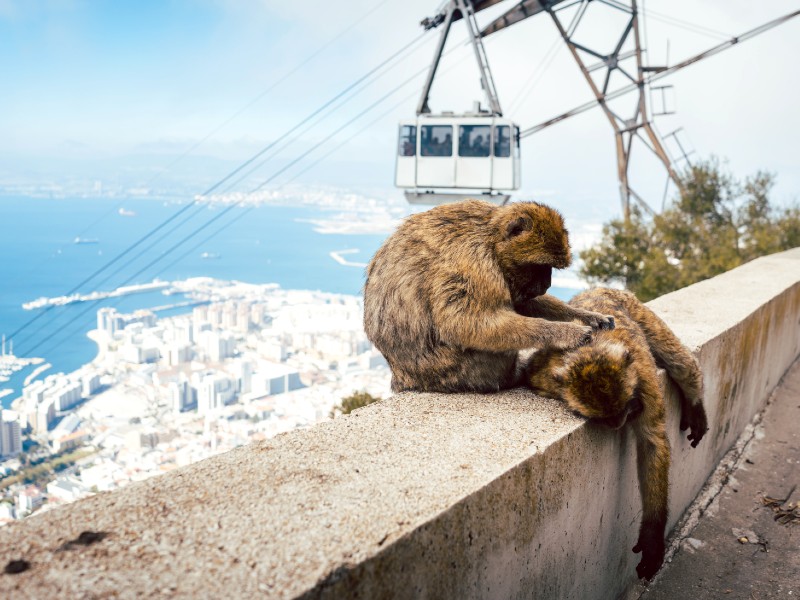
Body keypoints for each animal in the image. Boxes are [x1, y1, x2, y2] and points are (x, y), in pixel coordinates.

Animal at [362, 199, 616, 394]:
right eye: (540, 266)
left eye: (550, 268)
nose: (546, 285)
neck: (490, 237)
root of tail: (404, 377)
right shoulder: (474, 265)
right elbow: (464, 324)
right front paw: (566, 332)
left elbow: (522, 303)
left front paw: (590, 316)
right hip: (459, 372)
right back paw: (514, 375)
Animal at [525, 287, 708, 580]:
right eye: (605, 418)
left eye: (623, 408)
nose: (618, 423)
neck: (591, 349)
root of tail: (599, 289)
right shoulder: (542, 373)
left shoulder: (643, 377)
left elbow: (652, 440)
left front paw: (652, 535)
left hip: (639, 312)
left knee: (679, 360)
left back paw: (695, 403)